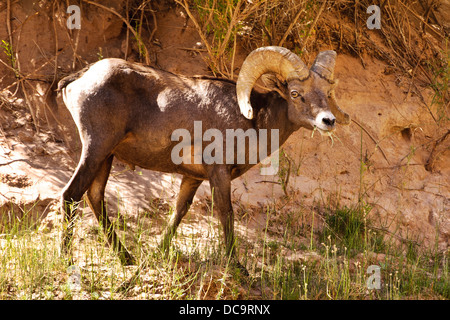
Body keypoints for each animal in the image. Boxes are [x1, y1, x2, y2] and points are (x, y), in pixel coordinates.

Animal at [57, 45, 352, 268]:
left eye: (327, 94)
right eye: (295, 93)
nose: (328, 121)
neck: (253, 122)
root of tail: (79, 79)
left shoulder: (192, 178)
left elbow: (178, 212)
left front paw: (158, 252)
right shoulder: (219, 173)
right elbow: (226, 213)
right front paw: (237, 267)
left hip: (105, 156)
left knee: (94, 197)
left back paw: (126, 259)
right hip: (96, 148)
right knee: (71, 194)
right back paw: (66, 260)